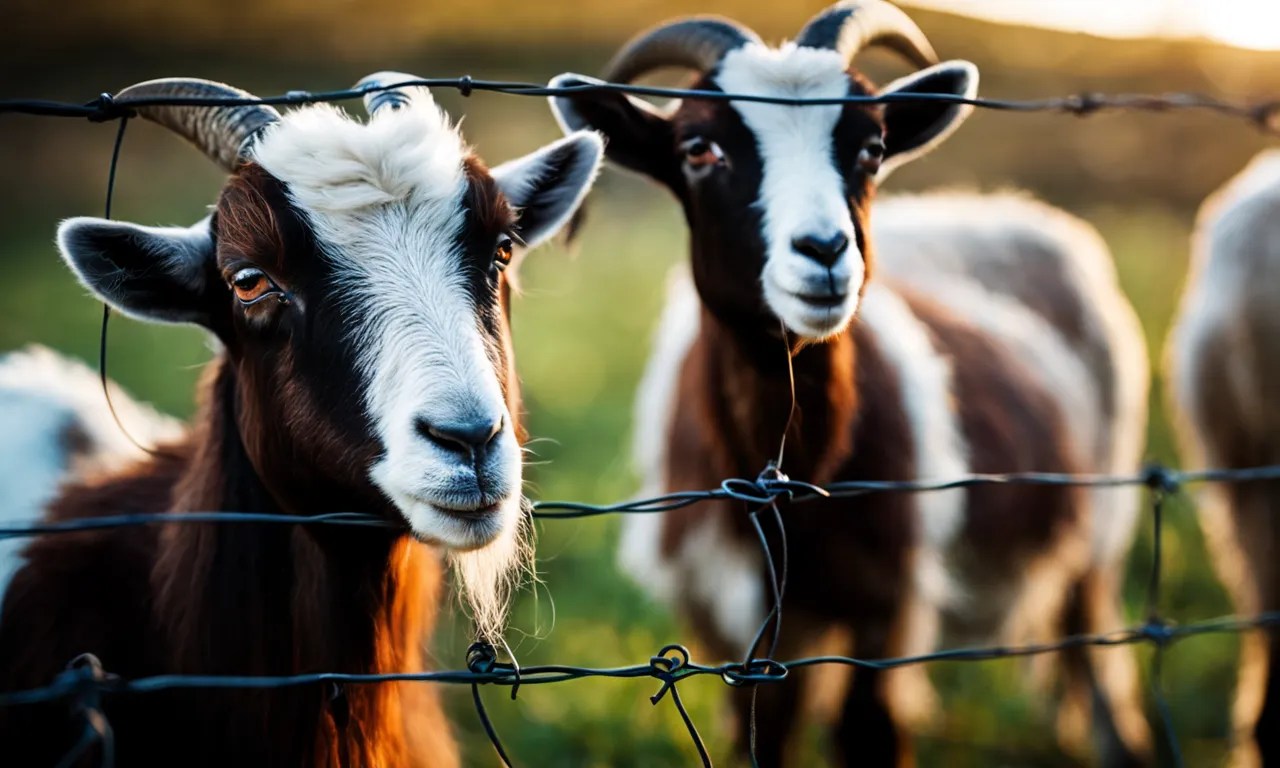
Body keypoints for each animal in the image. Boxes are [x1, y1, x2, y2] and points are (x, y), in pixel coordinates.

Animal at [550, 3, 1151, 765]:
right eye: (698, 150)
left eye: (870, 148)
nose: (826, 252)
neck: (788, 486)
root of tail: (992, 207)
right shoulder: (731, 627)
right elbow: (767, 735)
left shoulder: (883, 608)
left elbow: (869, 730)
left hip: (1100, 519)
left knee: (1091, 650)